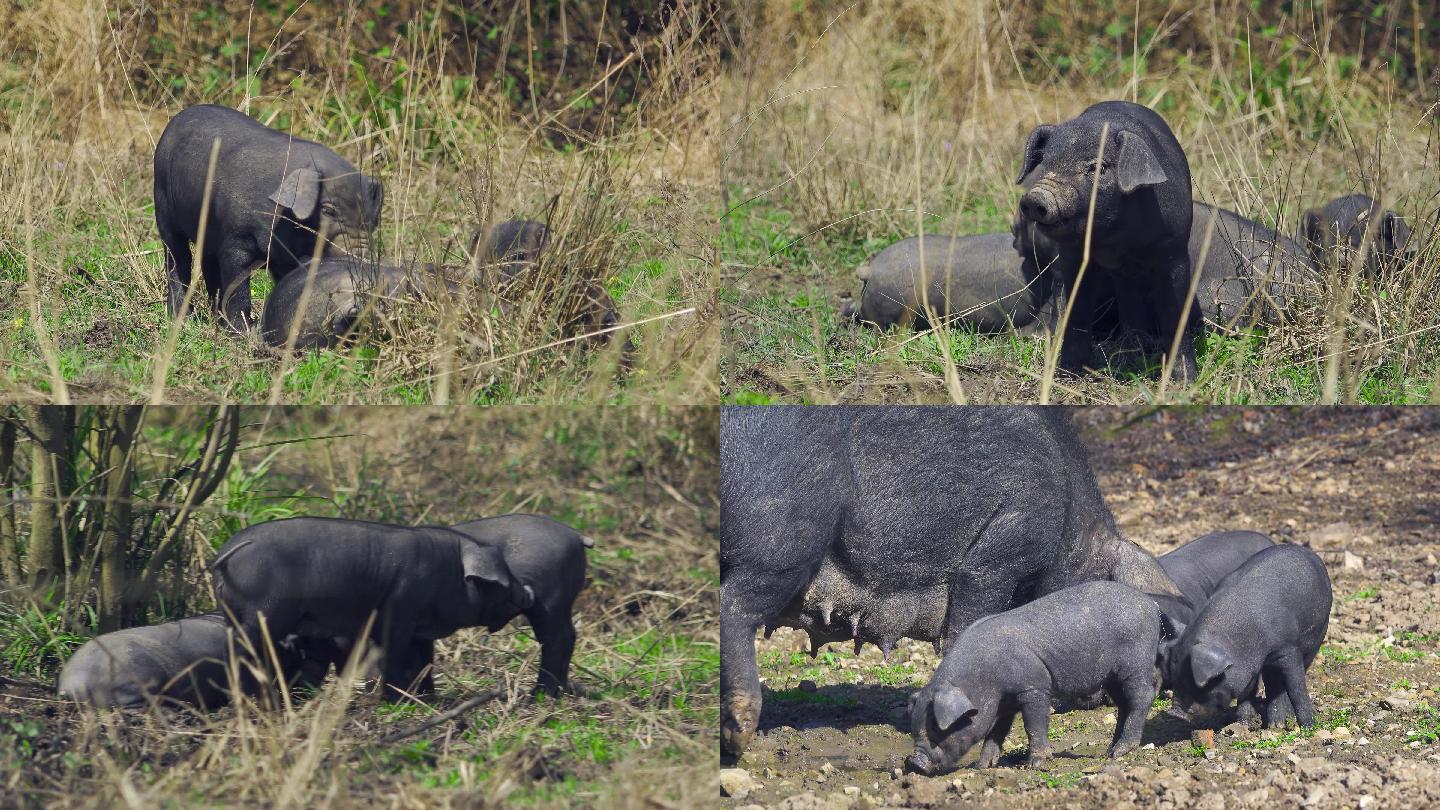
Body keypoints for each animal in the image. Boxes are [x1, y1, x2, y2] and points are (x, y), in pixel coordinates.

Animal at [156, 103, 383, 328]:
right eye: (328, 211)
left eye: (372, 219)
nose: (361, 256)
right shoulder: (235, 238)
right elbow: (237, 285)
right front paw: (243, 329)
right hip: (163, 206)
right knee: (177, 258)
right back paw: (180, 318)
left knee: (207, 262)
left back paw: (216, 318)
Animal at [904, 579, 1163, 766]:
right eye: (915, 730)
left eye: (936, 731)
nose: (915, 763)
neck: (983, 678)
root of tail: (1150, 604)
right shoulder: (1004, 702)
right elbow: (996, 731)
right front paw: (983, 766)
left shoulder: (1034, 686)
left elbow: (1033, 725)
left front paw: (1034, 764)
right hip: (1111, 676)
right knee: (1123, 704)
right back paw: (1108, 752)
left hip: (1135, 663)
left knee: (1141, 697)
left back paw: (1120, 752)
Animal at [1157, 541, 1324, 726]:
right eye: (1175, 677)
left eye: (1196, 681)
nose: (1174, 713)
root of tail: (1305, 550)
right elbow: (1247, 690)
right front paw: (1243, 722)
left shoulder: (1288, 648)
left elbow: (1296, 687)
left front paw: (1308, 725)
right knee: (1272, 684)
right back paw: (1275, 724)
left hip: (1317, 638)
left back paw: (1281, 723)